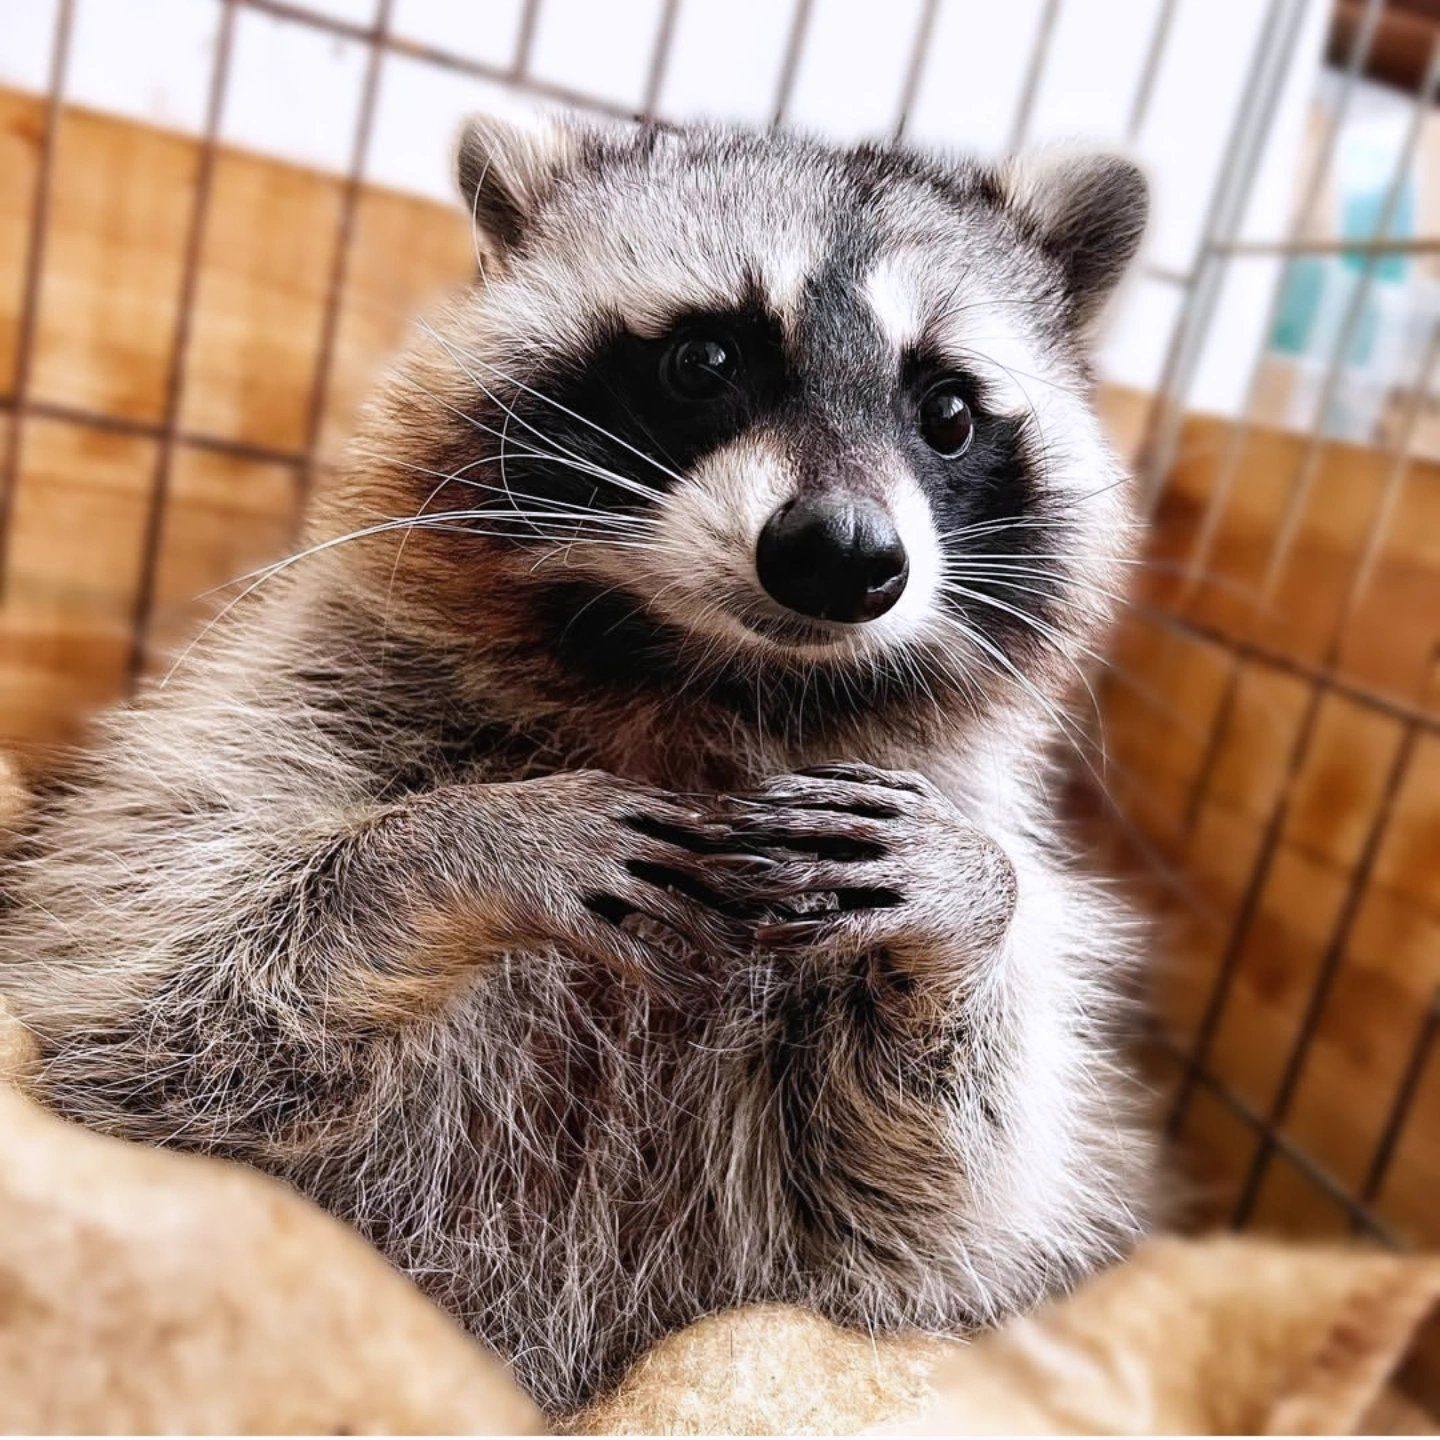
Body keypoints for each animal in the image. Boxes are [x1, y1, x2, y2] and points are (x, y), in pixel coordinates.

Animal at [0, 115, 1151, 1411]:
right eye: (705, 357)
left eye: (948, 409)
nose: (841, 554)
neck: (706, 685)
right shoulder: (286, 710)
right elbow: (159, 996)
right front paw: (452, 850)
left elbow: (926, 1199)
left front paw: (969, 899)